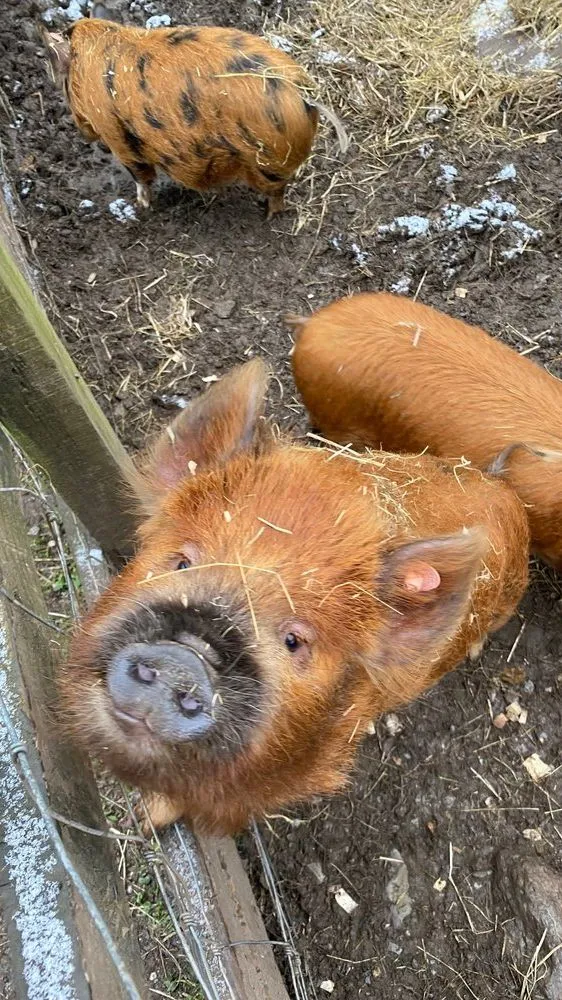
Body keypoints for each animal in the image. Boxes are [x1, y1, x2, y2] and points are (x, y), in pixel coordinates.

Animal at [40, 6, 322, 216]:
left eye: (62, 82)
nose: (83, 135)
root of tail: (302, 91)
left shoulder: (118, 139)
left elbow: (141, 176)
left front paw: (141, 206)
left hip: (268, 162)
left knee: (277, 191)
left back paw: (268, 214)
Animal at [62, 360, 529, 835]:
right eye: (182, 563)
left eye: (294, 640)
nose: (185, 656)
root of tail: (500, 482)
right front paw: (139, 819)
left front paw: (144, 821)